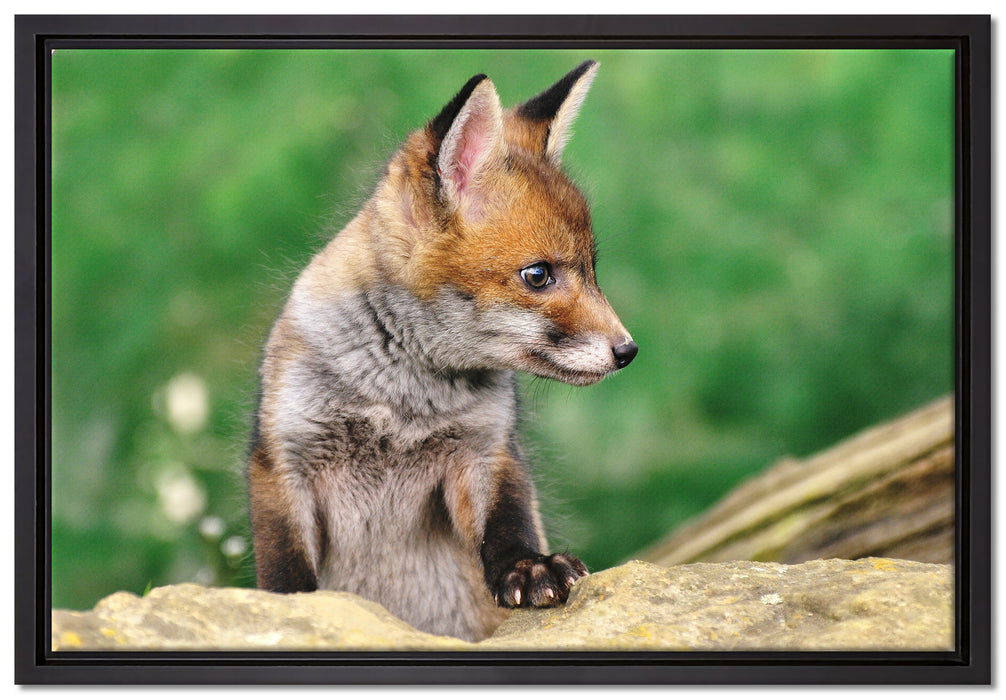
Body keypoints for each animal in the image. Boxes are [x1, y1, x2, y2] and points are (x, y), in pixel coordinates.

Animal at [247, 60, 637, 643]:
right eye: (538, 275)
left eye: (592, 270)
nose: (628, 350)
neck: (400, 401)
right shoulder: (282, 460)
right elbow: (285, 573)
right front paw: (292, 615)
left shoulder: (486, 451)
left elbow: (508, 523)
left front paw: (529, 567)